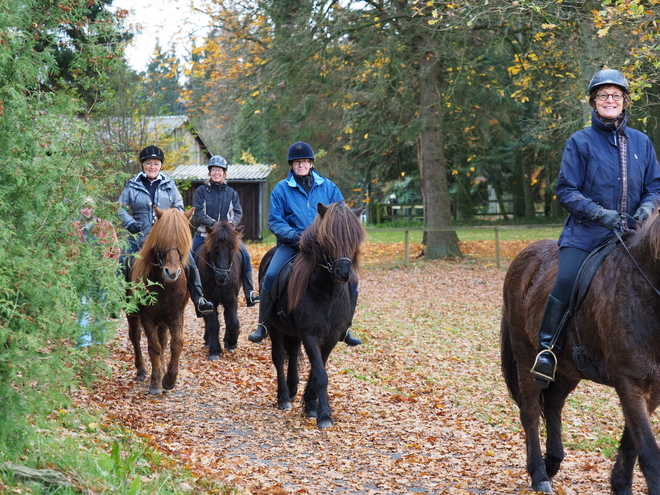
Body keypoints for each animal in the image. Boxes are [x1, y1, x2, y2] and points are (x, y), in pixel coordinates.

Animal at [126, 205, 193, 396]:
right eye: (162, 241)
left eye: (182, 243)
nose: (172, 272)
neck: (164, 285)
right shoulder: (147, 317)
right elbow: (153, 347)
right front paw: (155, 382)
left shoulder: (176, 315)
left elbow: (176, 344)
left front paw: (169, 379)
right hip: (133, 313)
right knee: (135, 336)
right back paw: (142, 371)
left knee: (163, 340)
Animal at [196, 221, 242, 360]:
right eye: (215, 248)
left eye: (231, 248)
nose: (222, 277)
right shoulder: (209, 299)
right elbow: (213, 324)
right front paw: (215, 351)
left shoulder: (231, 298)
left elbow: (233, 321)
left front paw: (231, 343)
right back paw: (208, 342)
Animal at [502, 215, 660, 494]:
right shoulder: (630, 381)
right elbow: (648, 451)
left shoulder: (654, 387)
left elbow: (632, 441)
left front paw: (620, 484)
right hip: (525, 355)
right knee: (530, 411)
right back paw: (539, 474)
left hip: (568, 368)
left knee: (553, 403)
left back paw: (552, 461)